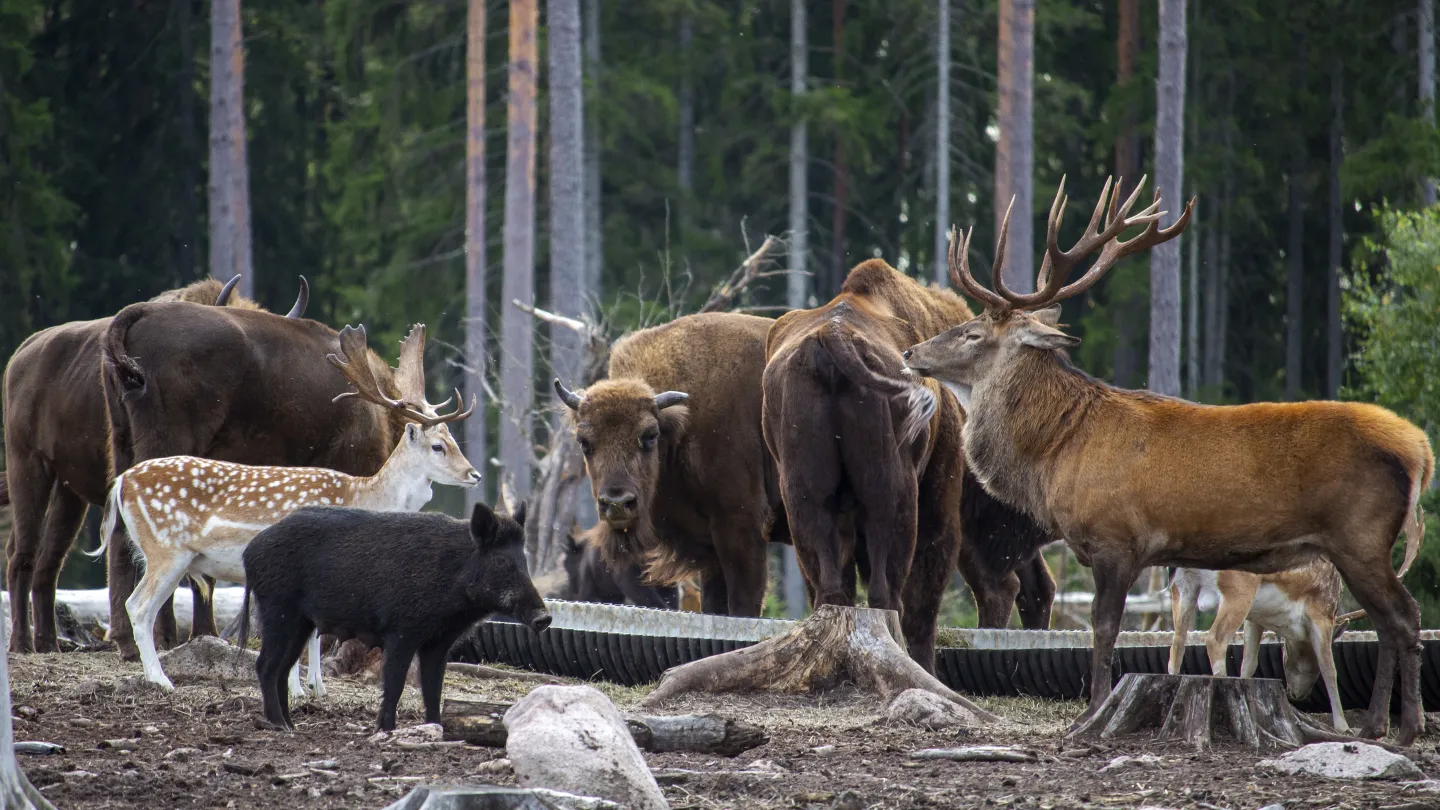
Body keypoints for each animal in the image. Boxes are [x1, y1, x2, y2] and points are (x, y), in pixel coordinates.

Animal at [1, 275, 306, 648]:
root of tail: (23, 353)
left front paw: (198, 633)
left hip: (68, 492)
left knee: (50, 559)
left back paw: (49, 642)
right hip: (28, 464)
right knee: (22, 552)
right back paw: (26, 642)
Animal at [88, 324, 478, 691]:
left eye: (454, 441)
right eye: (438, 446)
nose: (473, 474)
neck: (361, 496)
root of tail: (122, 483)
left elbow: (317, 634)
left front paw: (317, 688)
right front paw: (299, 689)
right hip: (167, 549)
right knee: (139, 607)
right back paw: (161, 680)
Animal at [550, 309, 789, 611]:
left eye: (649, 435)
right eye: (584, 442)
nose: (617, 504)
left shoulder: (741, 526)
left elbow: (742, 603)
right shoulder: (711, 547)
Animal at [760, 257, 1054, 668]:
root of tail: (835, 339)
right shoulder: (940, 498)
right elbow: (924, 607)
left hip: (804, 495)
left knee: (832, 593)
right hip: (895, 495)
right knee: (894, 595)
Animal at [904, 176, 1434, 743]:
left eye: (972, 332)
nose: (911, 353)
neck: (1057, 453)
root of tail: (1419, 449)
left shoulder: (1117, 540)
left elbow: (1104, 628)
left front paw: (1090, 714)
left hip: (1360, 535)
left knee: (1404, 617)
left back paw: (1404, 728)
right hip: (1355, 545)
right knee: (1386, 621)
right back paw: (1376, 725)